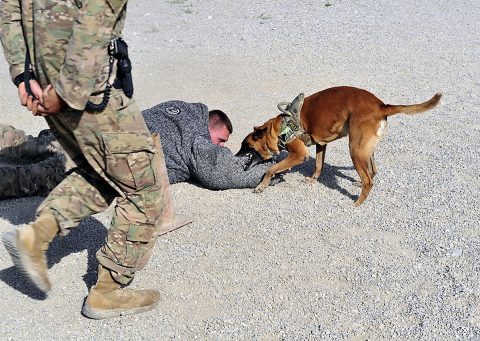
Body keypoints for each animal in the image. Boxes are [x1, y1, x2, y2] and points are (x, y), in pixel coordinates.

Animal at [236, 86, 442, 206]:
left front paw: (262, 186)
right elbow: (318, 164)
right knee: (373, 171)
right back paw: (360, 184)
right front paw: (312, 179)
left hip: (355, 150)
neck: (278, 127)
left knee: (369, 181)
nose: (235, 155)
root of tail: (380, 106)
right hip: (365, 150)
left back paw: (357, 203)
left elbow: (271, 169)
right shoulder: (321, 145)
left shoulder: (299, 153)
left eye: (244, 146)